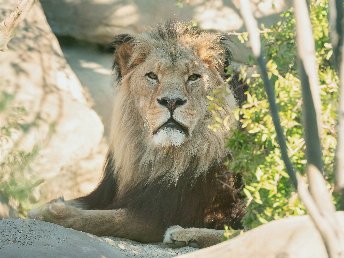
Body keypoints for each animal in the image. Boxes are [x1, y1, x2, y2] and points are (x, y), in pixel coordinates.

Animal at [28, 21, 245, 248]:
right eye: (152, 76)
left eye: (193, 77)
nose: (171, 101)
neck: (156, 156)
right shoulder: (104, 195)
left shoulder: (156, 216)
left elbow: (103, 219)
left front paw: (51, 211)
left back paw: (183, 234)